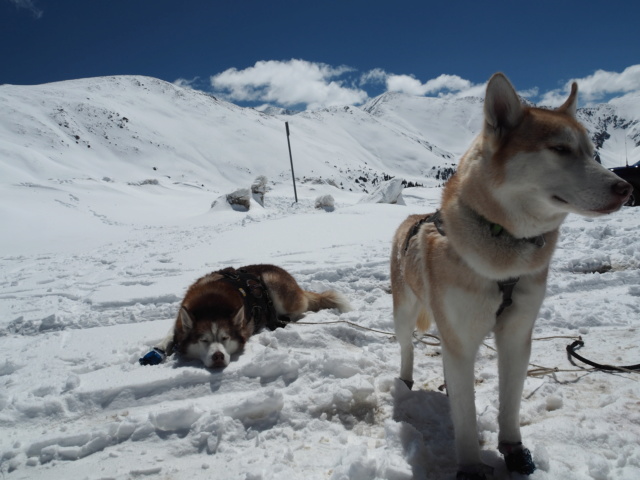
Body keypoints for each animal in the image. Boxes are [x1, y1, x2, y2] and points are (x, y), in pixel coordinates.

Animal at [140, 264, 350, 370]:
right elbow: (170, 335)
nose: (218, 356)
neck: (211, 306)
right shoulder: (180, 320)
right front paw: (158, 350)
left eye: (225, 338)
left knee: (300, 309)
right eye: (203, 340)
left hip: (274, 285)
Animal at [390, 73, 632, 478]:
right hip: (405, 313)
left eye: (592, 153)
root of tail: (409, 219)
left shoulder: (517, 334)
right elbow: (466, 415)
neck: (503, 245)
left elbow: (510, 403)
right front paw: (471, 466)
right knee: (407, 346)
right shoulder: (460, 339)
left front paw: (513, 449)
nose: (626, 188)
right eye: (560, 149)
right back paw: (406, 379)